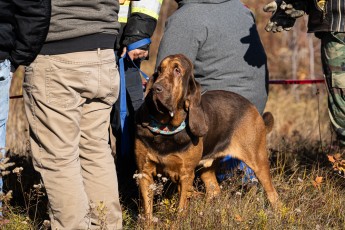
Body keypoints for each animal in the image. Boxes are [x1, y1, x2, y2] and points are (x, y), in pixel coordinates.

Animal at [134, 54, 280, 217]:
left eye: (177, 70)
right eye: (159, 70)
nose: (155, 88)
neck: (166, 128)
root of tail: (251, 106)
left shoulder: (185, 176)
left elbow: (180, 210)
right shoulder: (145, 173)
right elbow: (147, 213)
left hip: (259, 162)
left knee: (273, 195)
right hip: (206, 169)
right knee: (214, 191)